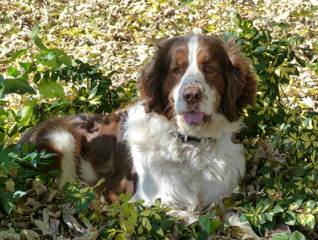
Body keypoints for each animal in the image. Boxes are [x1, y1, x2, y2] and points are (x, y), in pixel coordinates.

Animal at [19, 33, 258, 221]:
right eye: (176, 70)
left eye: (210, 68)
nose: (191, 95)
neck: (191, 144)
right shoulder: (142, 201)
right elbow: (193, 219)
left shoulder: (221, 195)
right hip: (62, 138)